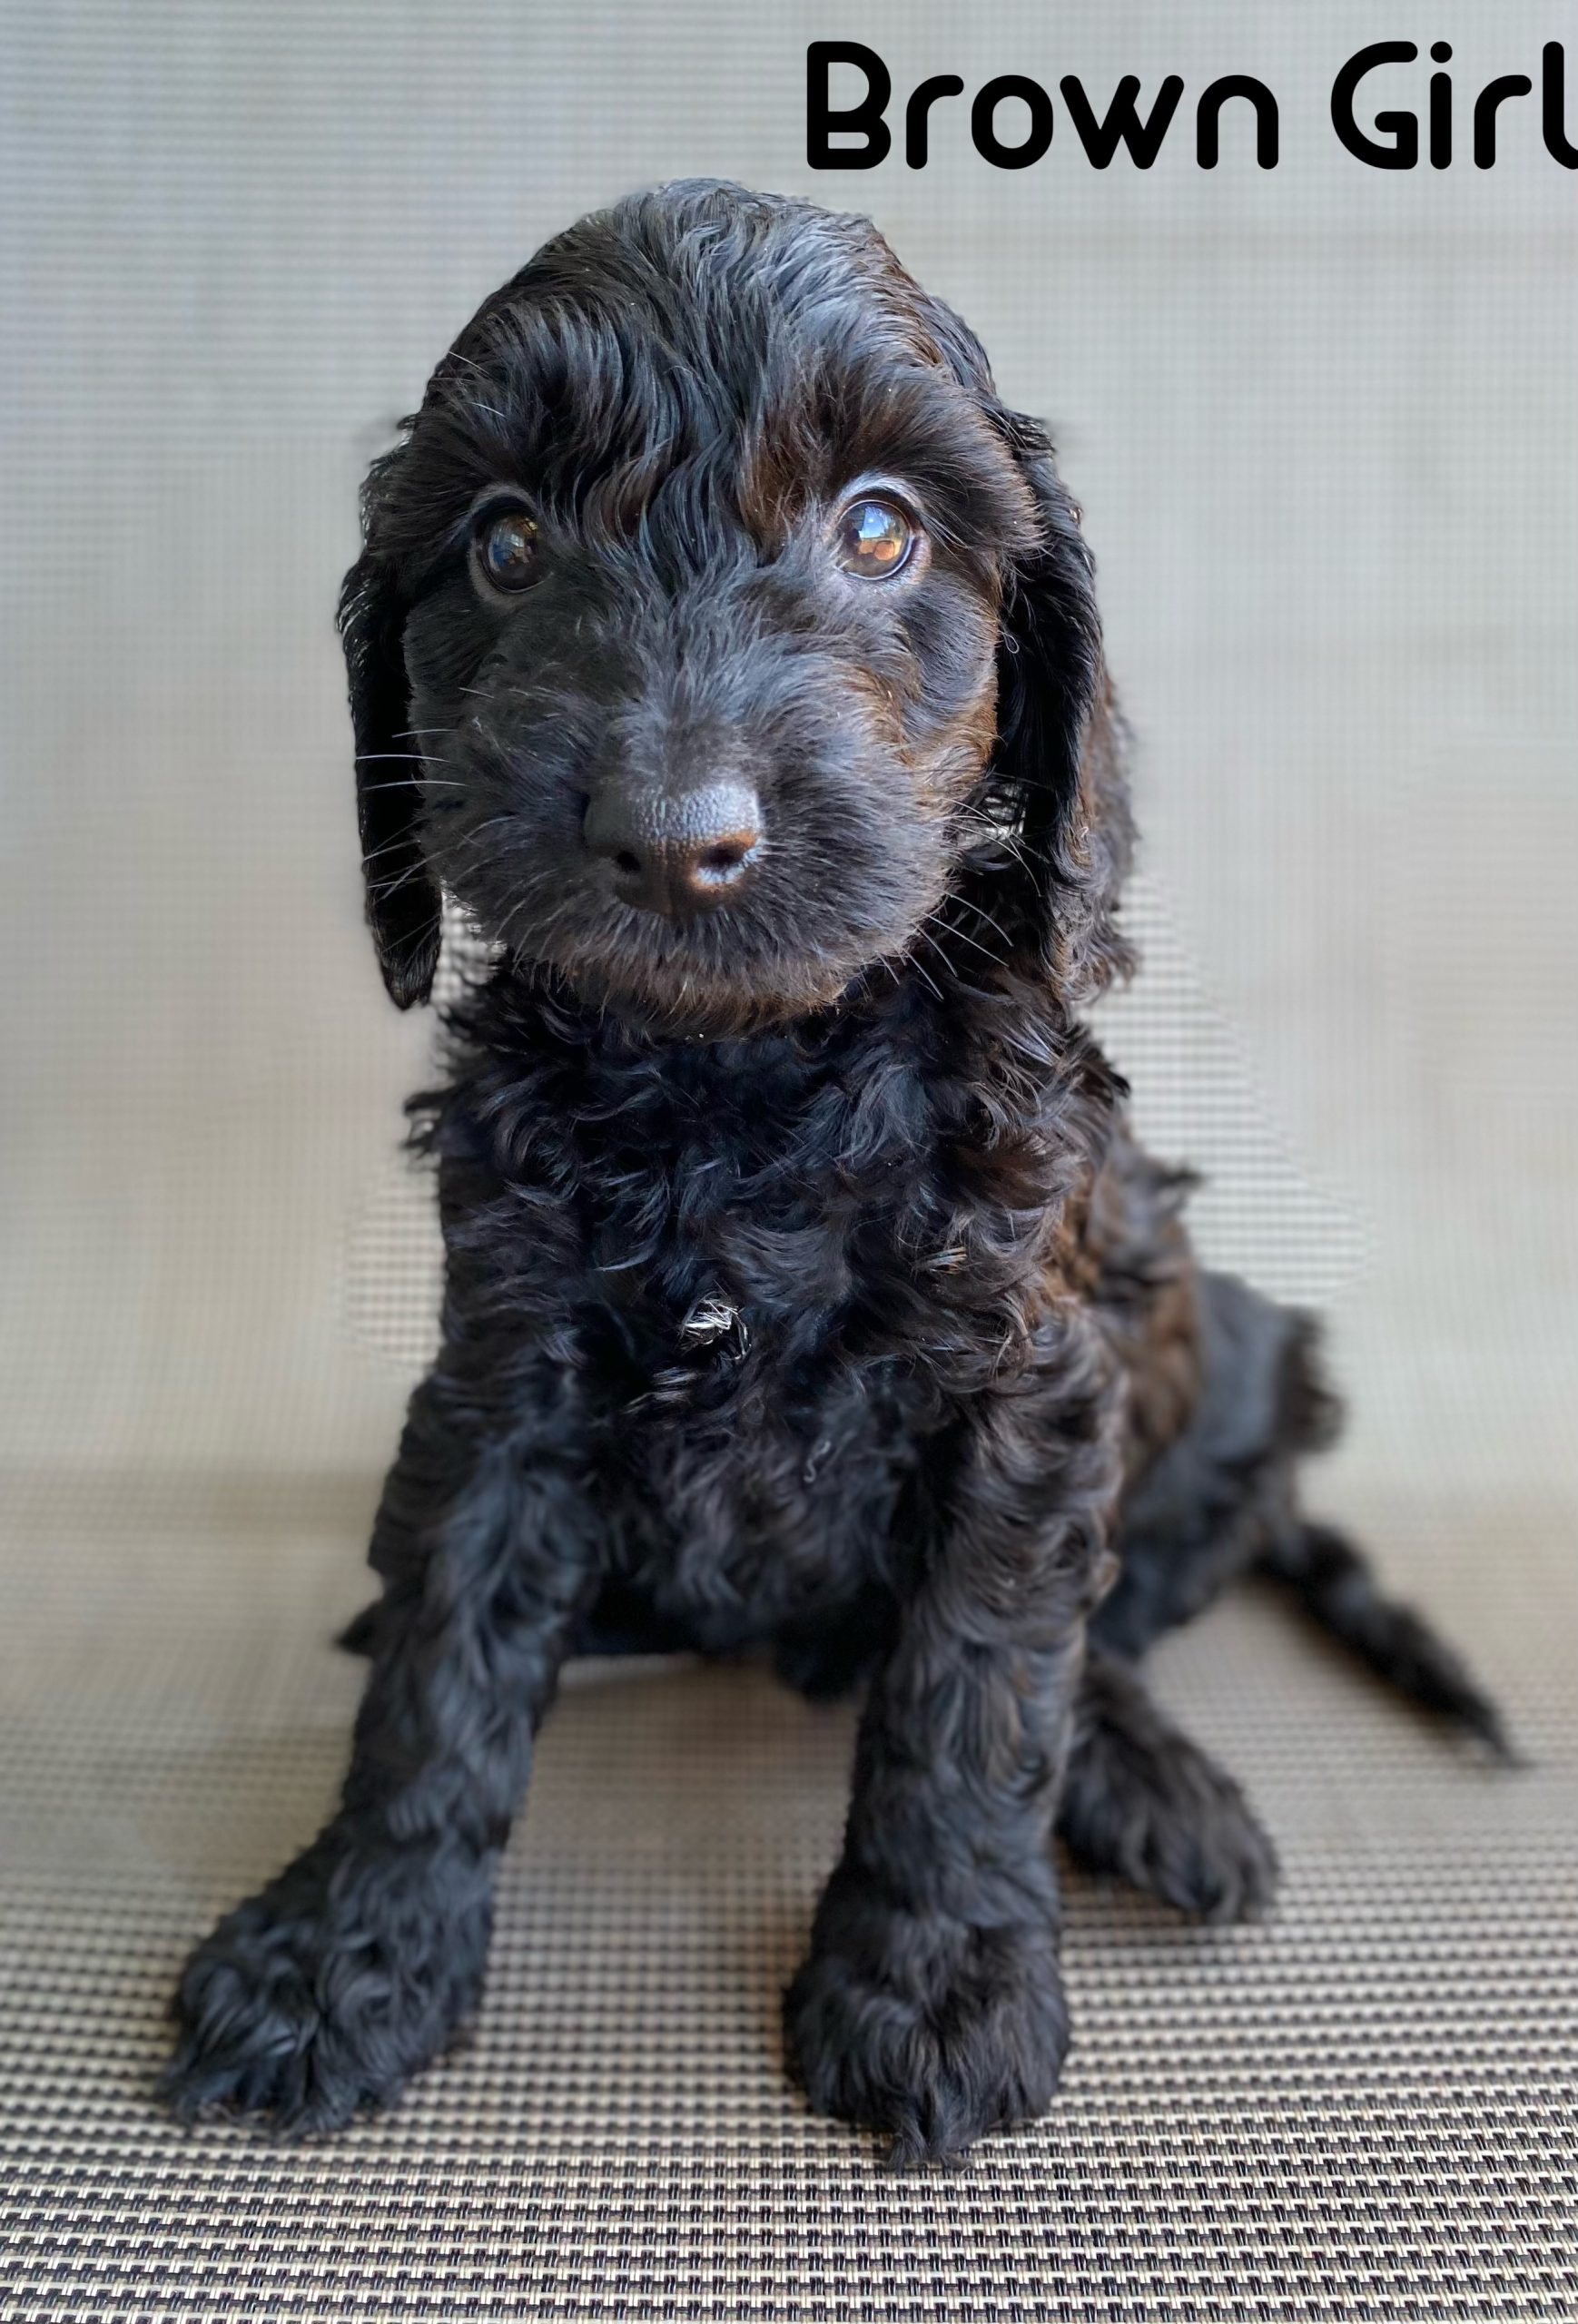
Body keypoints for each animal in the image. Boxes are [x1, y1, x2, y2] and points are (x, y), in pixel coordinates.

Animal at [160, 181, 1505, 2156]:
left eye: (880, 527)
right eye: (503, 546)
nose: (674, 835)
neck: (742, 1087)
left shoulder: (1019, 1379)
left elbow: (977, 1680)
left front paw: (934, 1979)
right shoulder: (507, 1363)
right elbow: (441, 1662)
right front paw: (344, 1951)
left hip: (1242, 1350)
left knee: (1119, 1612)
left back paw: (1142, 1774)